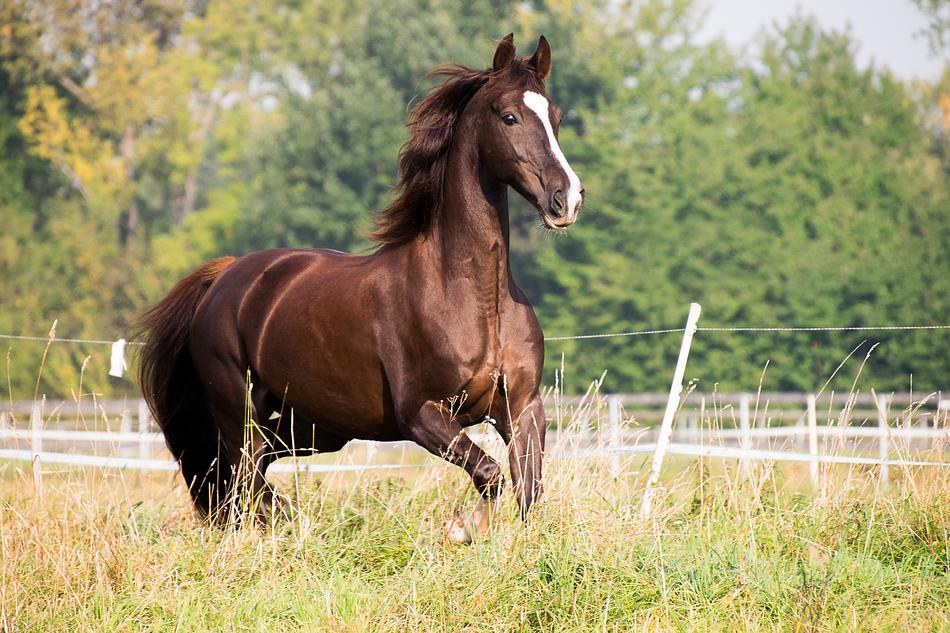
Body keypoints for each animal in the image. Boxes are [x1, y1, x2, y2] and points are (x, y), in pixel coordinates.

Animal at [137, 34, 585, 539]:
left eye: (556, 116)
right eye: (509, 116)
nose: (567, 199)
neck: (473, 297)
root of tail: (227, 277)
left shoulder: (523, 409)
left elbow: (529, 490)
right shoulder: (421, 414)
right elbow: (490, 474)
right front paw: (462, 529)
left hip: (313, 425)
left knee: (252, 473)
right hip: (239, 412)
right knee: (242, 479)